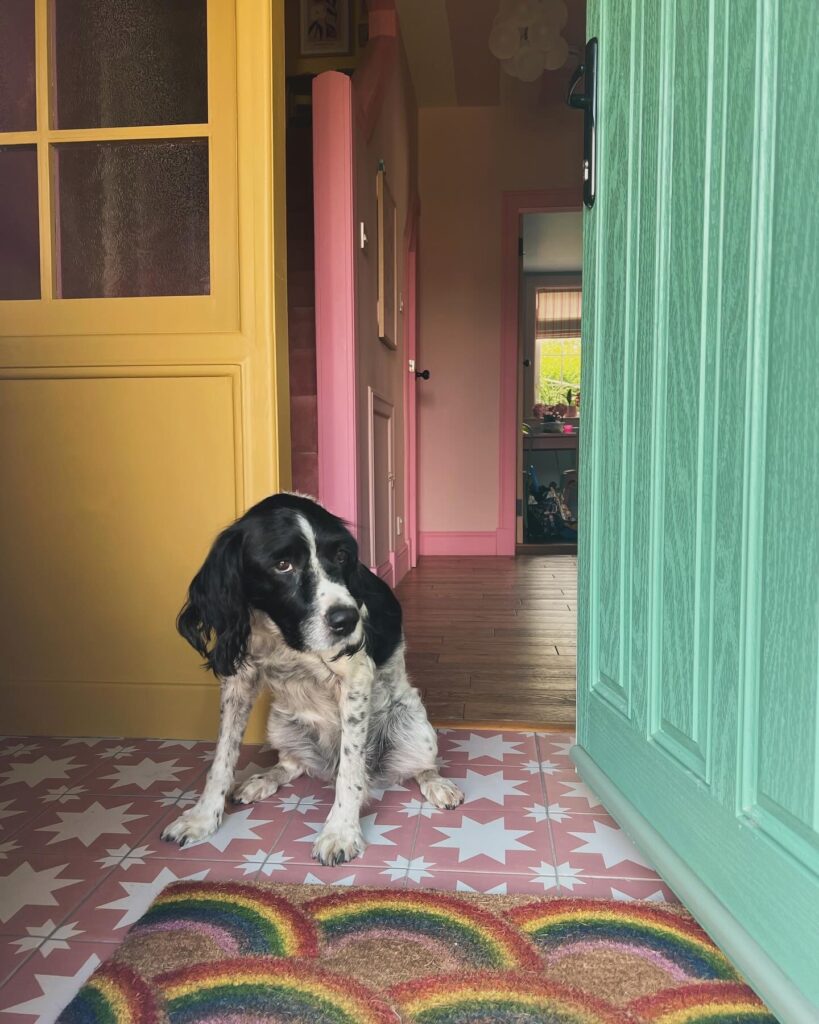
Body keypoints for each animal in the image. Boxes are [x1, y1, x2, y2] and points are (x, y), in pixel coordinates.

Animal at [161, 493, 460, 864]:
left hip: (416, 729)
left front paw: (341, 831)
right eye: (282, 565)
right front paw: (202, 818)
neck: (284, 635)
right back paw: (262, 780)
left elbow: (351, 770)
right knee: (293, 763)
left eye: (342, 556)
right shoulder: (238, 680)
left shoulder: (356, 677)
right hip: (281, 725)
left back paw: (439, 785)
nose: (347, 620)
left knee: (418, 766)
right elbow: (221, 758)